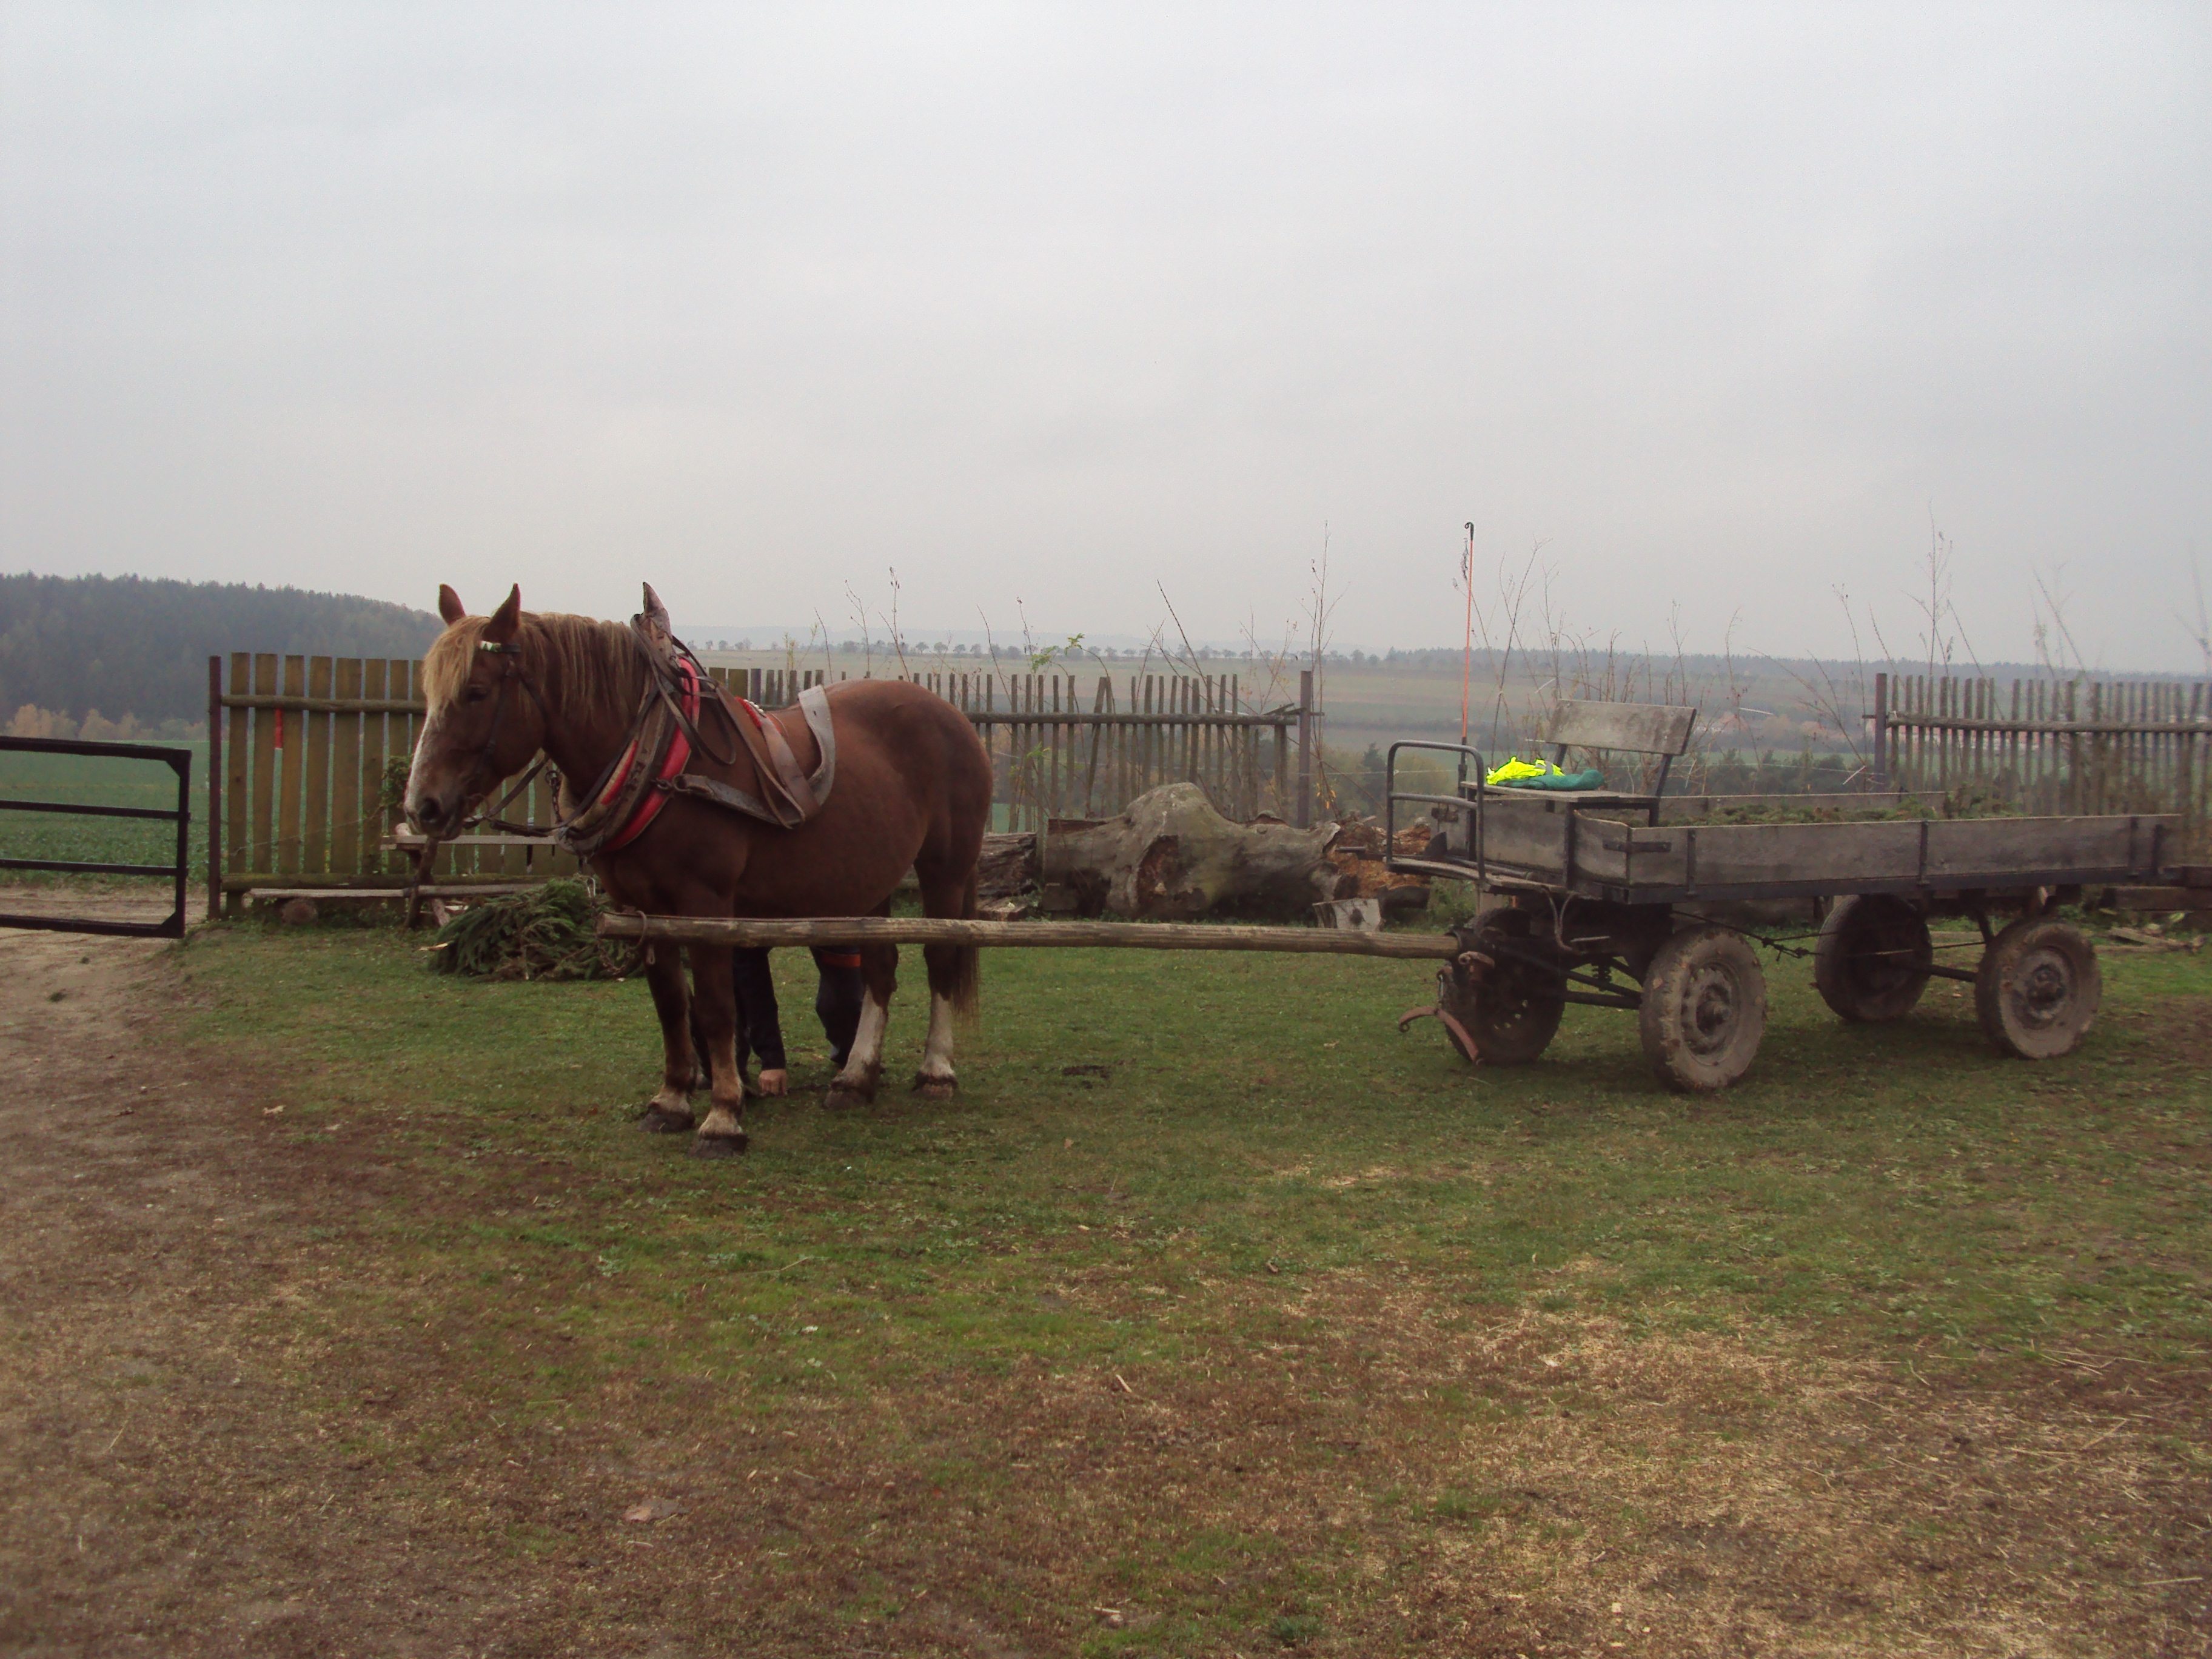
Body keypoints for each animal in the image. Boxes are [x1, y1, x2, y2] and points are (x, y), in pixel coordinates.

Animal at [407, 584, 995, 1159]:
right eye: (430, 693)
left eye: (476, 692)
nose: (423, 807)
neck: (657, 757)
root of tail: (955, 718)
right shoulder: (641, 909)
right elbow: (670, 1004)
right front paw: (671, 1102)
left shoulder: (706, 905)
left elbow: (715, 1008)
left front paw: (723, 1117)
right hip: (870, 877)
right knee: (880, 968)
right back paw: (855, 1078)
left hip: (945, 869)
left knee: (941, 958)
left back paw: (936, 1070)